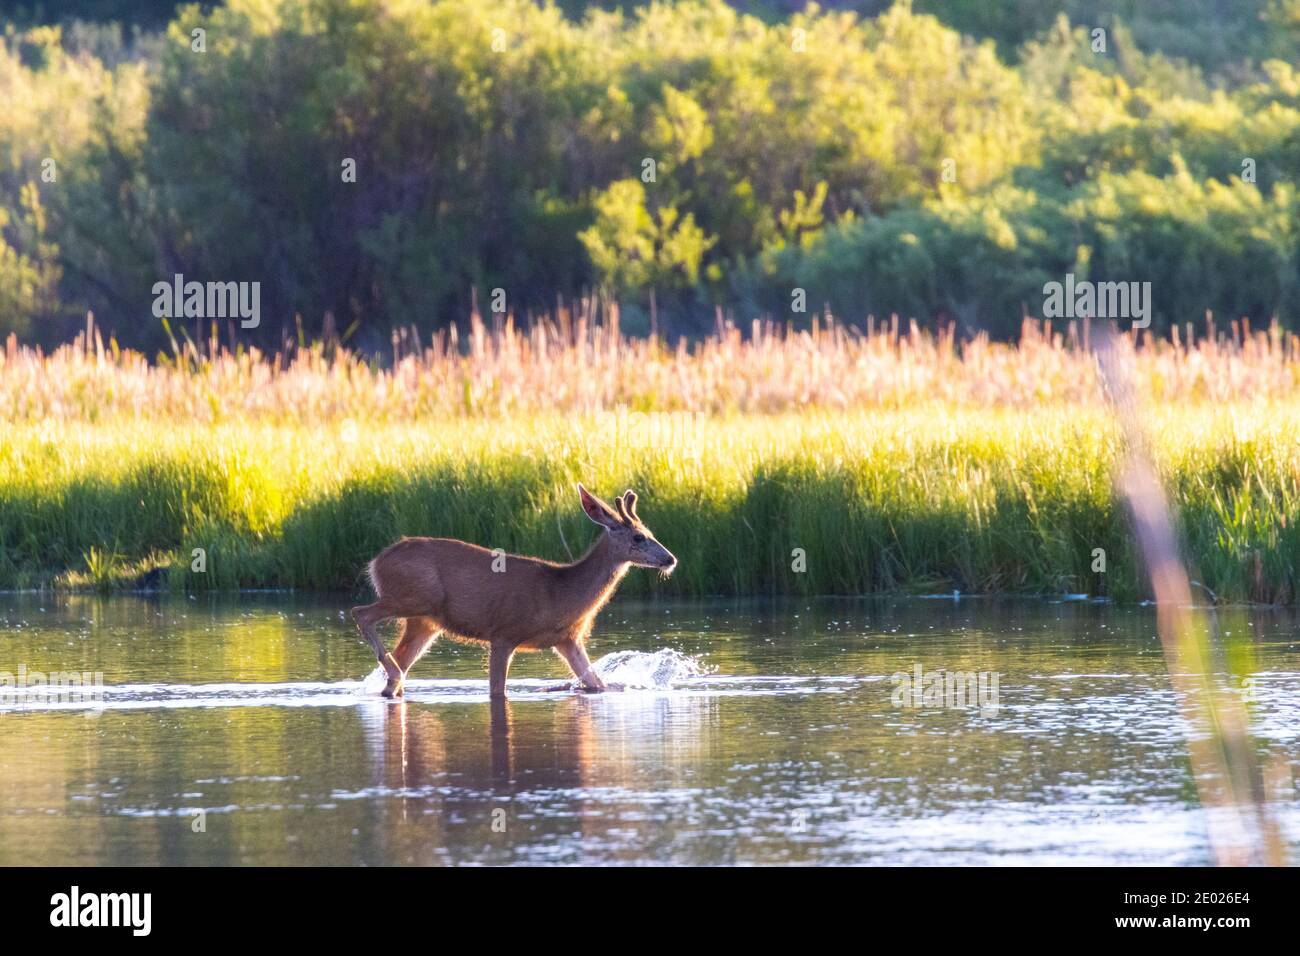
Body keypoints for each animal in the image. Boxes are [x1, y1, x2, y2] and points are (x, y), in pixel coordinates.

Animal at [353, 489, 681, 697]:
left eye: (650, 533)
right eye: (638, 537)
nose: (670, 559)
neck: (561, 593)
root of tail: (375, 562)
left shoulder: (568, 639)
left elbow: (596, 684)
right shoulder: (504, 633)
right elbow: (498, 691)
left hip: (425, 621)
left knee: (399, 657)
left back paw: (392, 683)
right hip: (414, 597)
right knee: (360, 613)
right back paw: (394, 674)